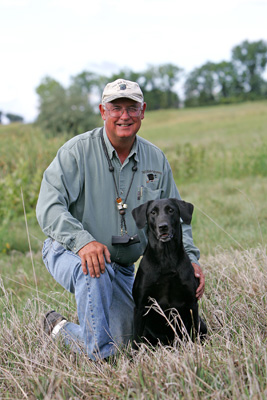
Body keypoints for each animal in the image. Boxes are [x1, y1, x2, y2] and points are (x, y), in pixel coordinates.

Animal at [131, 198, 207, 348]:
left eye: (171, 210)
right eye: (153, 212)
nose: (163, 226)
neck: (166, 258)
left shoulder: (192, 304)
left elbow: (194, 332)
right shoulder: (141, 306)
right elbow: (136, 340)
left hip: (202, 325)